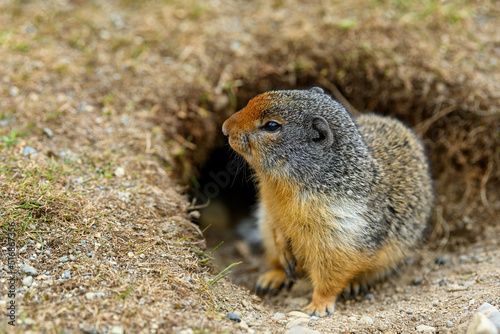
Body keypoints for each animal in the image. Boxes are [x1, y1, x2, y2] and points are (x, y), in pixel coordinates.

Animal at [223, 87, 434, 318]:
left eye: (272, 125)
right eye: (252, 100)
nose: (225, 128)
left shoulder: (340, 235)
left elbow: (330, 275)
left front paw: (317, 306)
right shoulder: (269, 208)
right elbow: (277, 230)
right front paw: (284, 258)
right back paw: (273, 277)